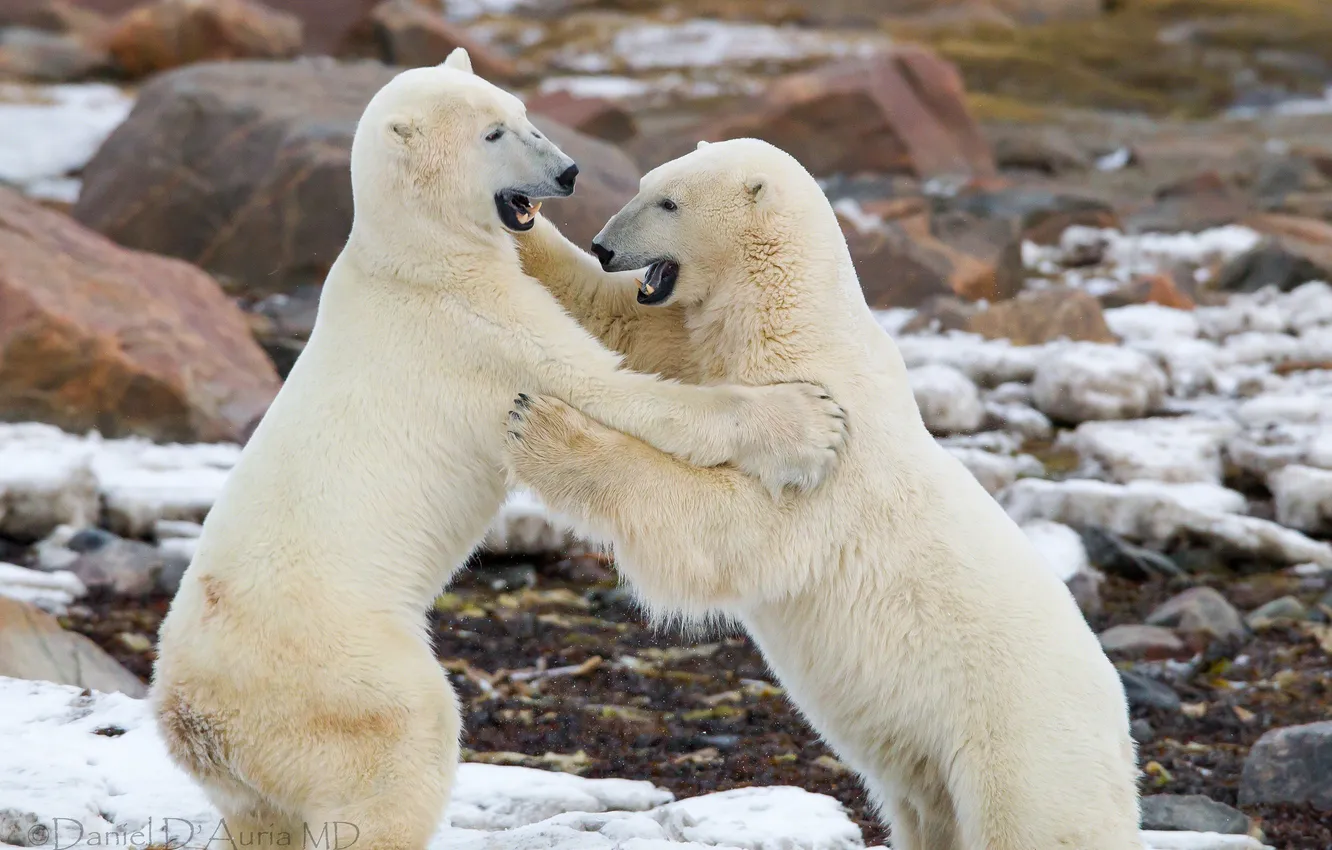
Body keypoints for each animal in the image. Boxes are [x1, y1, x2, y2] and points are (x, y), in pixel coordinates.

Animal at [151, 57, 848, 850]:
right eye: (492, 133)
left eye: (522, 114)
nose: (568, 173)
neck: (412, 258)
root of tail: (193, 717)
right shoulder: (474, 327)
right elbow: (611, 388)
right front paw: (807, 420)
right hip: (333, 673)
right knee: (400, 752)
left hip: (251, 763)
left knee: (262, 816)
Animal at [506, 138, 1143, 850]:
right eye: (644, 184)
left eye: (668, 202)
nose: (603, 245)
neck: (790, 318)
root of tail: (1122, 744)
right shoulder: (698, 342)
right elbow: (618, 323)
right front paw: (521, 225)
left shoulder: (830, 452)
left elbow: (731, 525)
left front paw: (542, 425)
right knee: (927, 810)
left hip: (1022, 750)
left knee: (1027, 824)